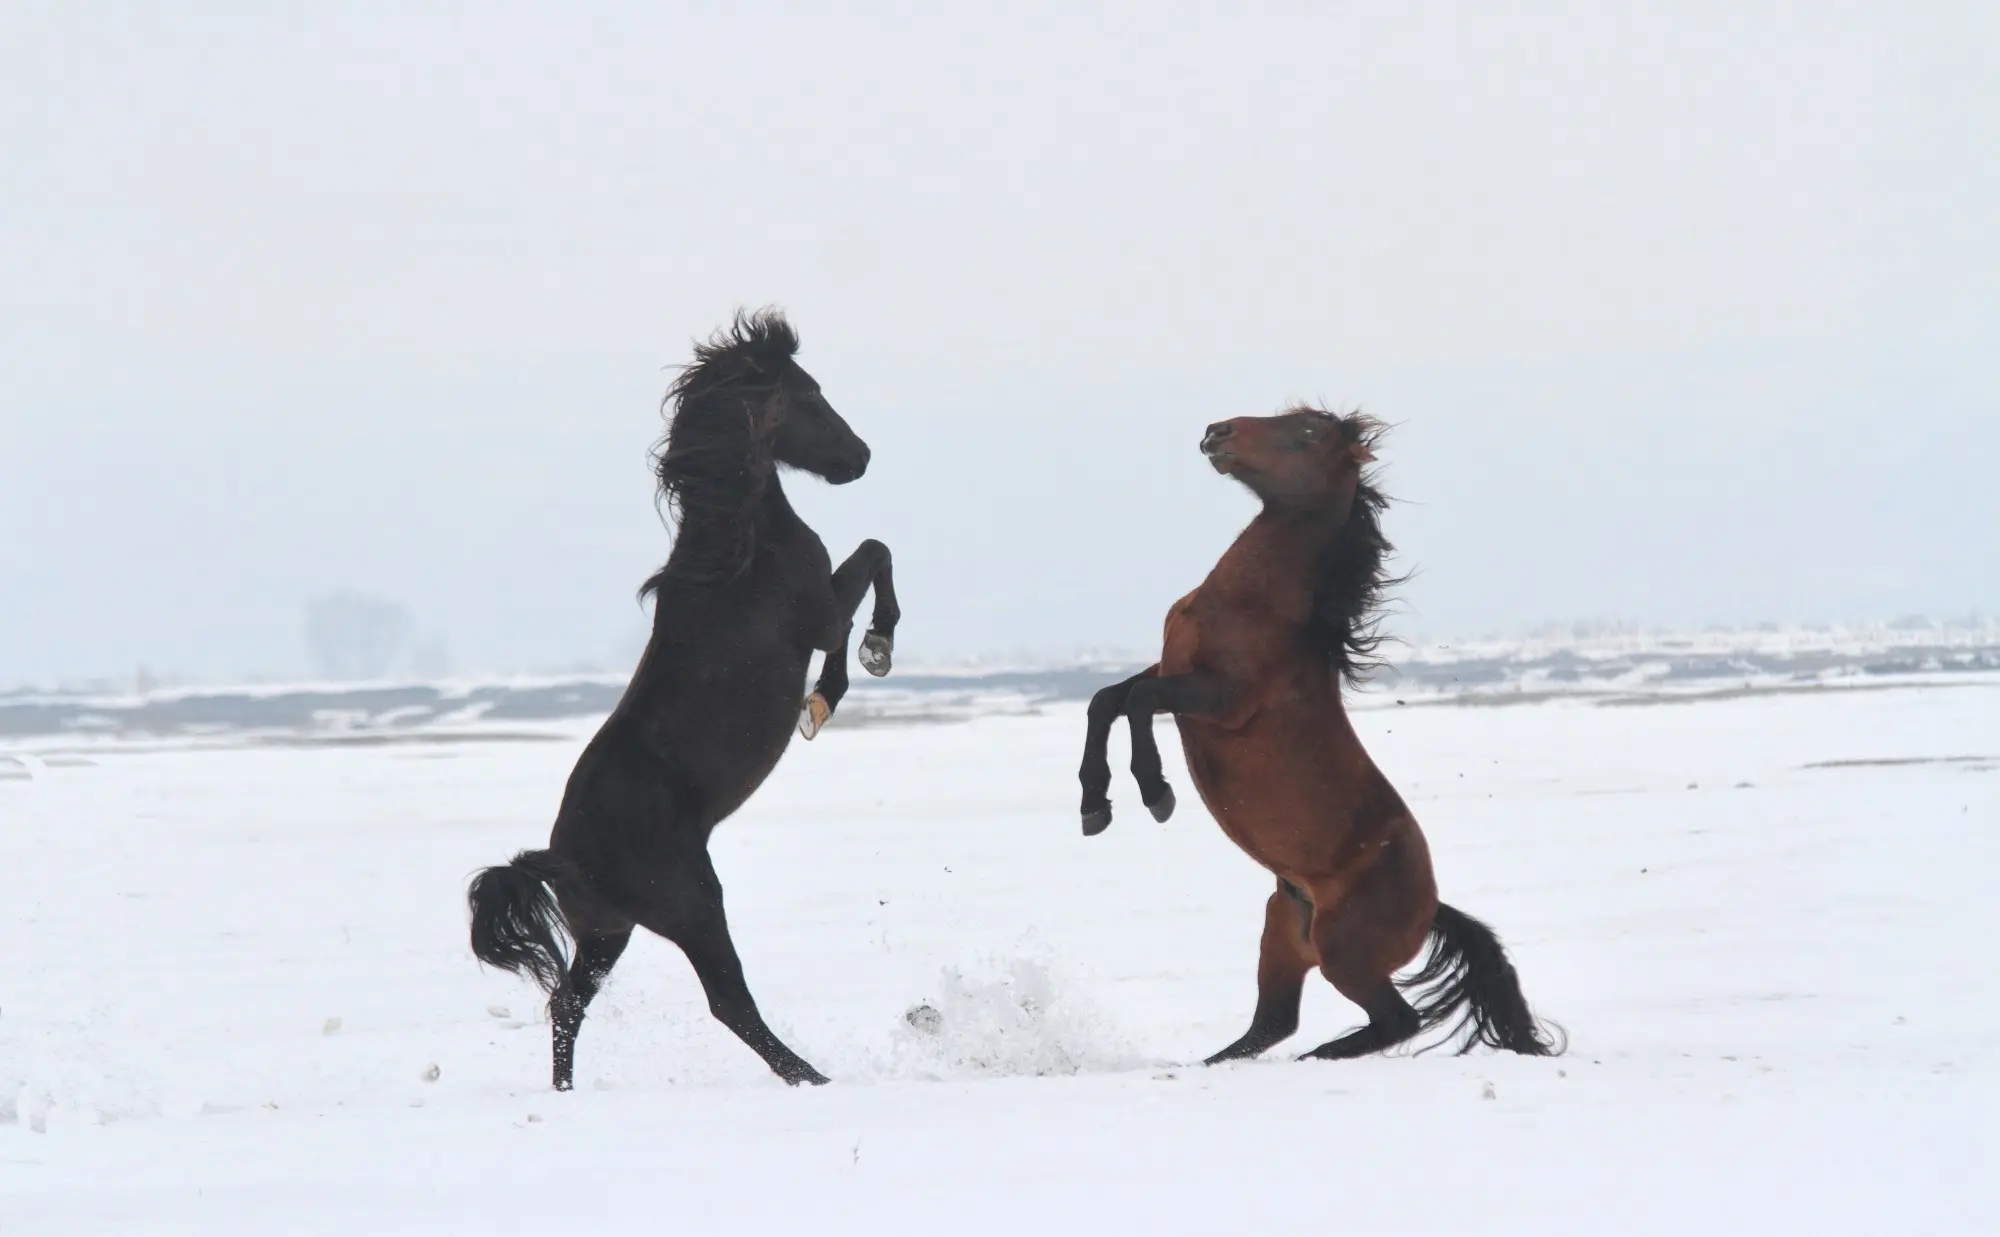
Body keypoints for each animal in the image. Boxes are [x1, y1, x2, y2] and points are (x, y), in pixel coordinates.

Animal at [467, 310, 899, 1090]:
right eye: (811, 396)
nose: (860, 456)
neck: (741, 546)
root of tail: (556, 858)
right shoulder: (822, 613)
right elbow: (874, 560)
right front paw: (844, 681)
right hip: (696, 908)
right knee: (730, 1004)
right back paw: (815, 1079)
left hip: (609, 932)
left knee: (566, 1003)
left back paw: (567, 1093)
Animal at [1076, 406, 1560, 1064]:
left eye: (1307, 433)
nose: (1217, 432)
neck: (1246, 600)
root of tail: (1430, 907)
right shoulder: (1170, 670)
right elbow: (1107, 701)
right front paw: (1093, 806)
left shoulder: (1220, 699)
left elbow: (1138, 703)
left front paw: (1157, 794)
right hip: (1281, 937)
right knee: (1272, 1025)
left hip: (1341, 951)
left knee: (1394, 1020)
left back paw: (1314, 1059)